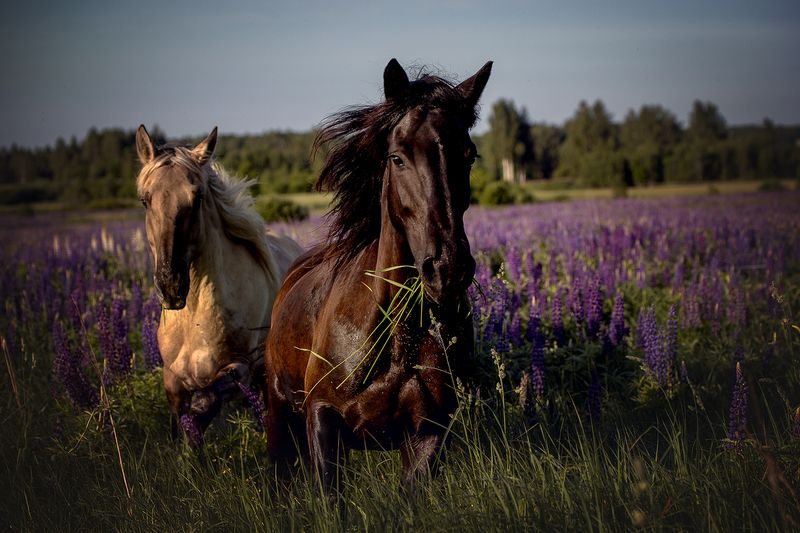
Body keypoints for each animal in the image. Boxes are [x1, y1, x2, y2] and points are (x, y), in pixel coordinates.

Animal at [134, 125, 303, 439]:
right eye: (145, 200)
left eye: (197, 197)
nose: (171, 286)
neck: (195, 322)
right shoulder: (172, 380)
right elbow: (181, 423)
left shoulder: (240, 368)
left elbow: (205, 404)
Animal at [264, 58, 492, 490]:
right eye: (397, 157)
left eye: (470, 156)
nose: (448, 269)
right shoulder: (321, 418)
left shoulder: (426, 434)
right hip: (279, 412)